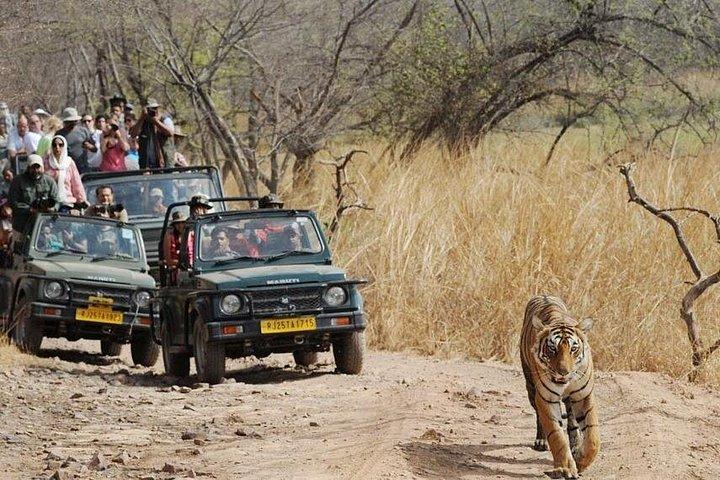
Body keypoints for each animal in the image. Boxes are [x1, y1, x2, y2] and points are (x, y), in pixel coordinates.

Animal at [519, 295, 599, 479]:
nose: (564, 372)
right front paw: (565, 468)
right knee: (539, 416)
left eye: (573, 349)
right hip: (531, 387)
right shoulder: (546, 399)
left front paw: (581, 461)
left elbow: (592, 437)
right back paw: (541, 441)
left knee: (572, 421)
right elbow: (556, 436)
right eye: (552, 349)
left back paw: (576, 445)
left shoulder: (583, 395)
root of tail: (543, 294)